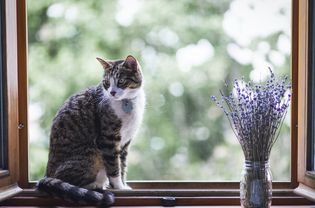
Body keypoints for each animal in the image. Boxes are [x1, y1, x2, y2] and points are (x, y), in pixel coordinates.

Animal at [37, 54, 146, 206]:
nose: (112, 92)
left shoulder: (125, 142)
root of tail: (47, 174)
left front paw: (124, 185)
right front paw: (119, 187)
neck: (127, 102)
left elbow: (123, 165)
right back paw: (94, 186)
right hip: (90, 155)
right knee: (66, 179)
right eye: (106, 83)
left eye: (121, 81)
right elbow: (114, 166)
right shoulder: (108, 138)